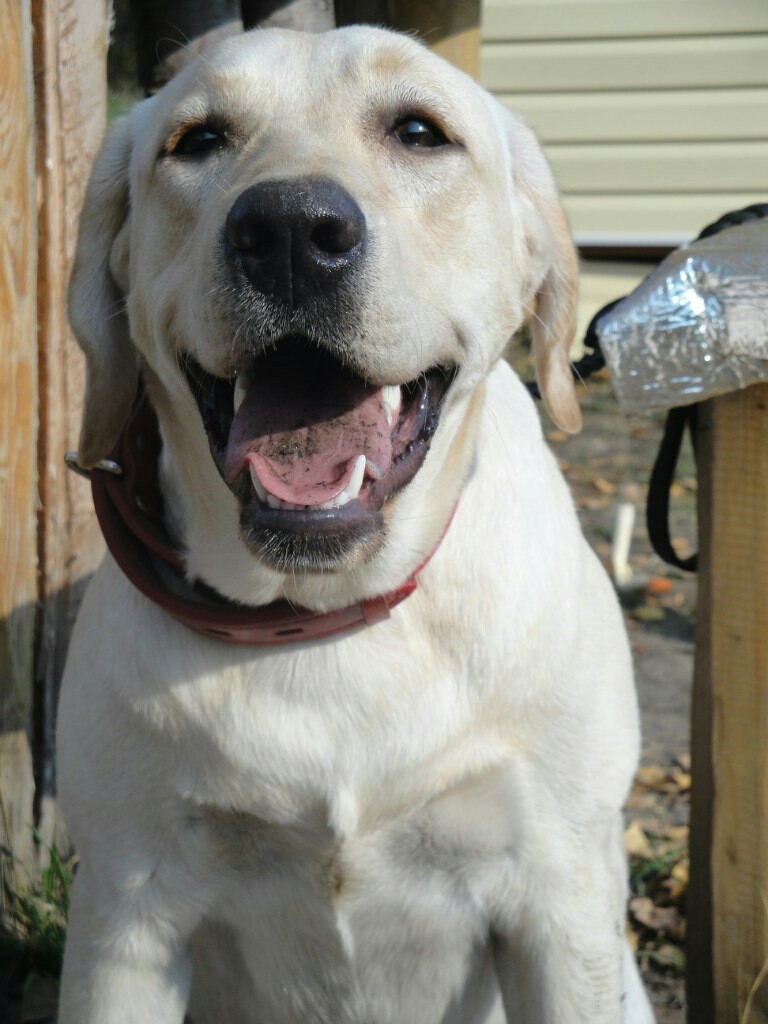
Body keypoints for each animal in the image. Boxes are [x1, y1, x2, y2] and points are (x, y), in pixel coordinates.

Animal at [57, 24, 655, 1024]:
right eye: (197, 140)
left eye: (419, 131)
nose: (290, 233)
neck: (326, 614)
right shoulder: (123, 919)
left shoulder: (561, 899)